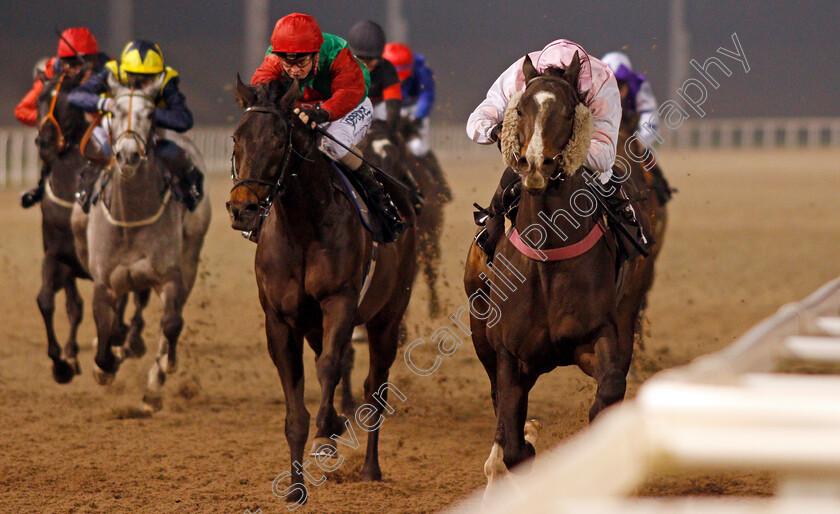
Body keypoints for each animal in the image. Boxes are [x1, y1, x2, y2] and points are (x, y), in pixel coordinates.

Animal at [33, 72, 149, 382]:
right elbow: (50, 302)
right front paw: (62, 363)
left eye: (68, 102)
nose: (45, 142)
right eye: (39, 100)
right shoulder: (57, 256)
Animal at [70, 72, 212, 410]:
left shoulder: (170, 274)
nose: (128, 154)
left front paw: (159, 375)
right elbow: (103, 325)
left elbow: (172, 322)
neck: (131, 217)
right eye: (114, 112)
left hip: (190, 254)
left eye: (150, 115)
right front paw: (105, 365)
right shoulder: (105, 280)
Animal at [228, 76, 416, 504]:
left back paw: (370, 467)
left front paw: (324, 436)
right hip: (315, 326)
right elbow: (295, 410)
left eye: (278, 141)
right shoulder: (280, 319)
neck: (302, 227)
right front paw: (296, 487)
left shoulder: (340, 302)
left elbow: (330, 366)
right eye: (236, 138)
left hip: (387, 317)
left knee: (374, 388)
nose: (242, 209)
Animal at [462, 52, 668, 492]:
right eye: (520, 109)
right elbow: (514, 443)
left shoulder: (600, 335)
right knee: (497, 407)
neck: (547, 256)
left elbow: (608, 394)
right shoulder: (509, 355)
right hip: (479, 328)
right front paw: (521, 446)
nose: (534, 164)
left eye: (569, 110)